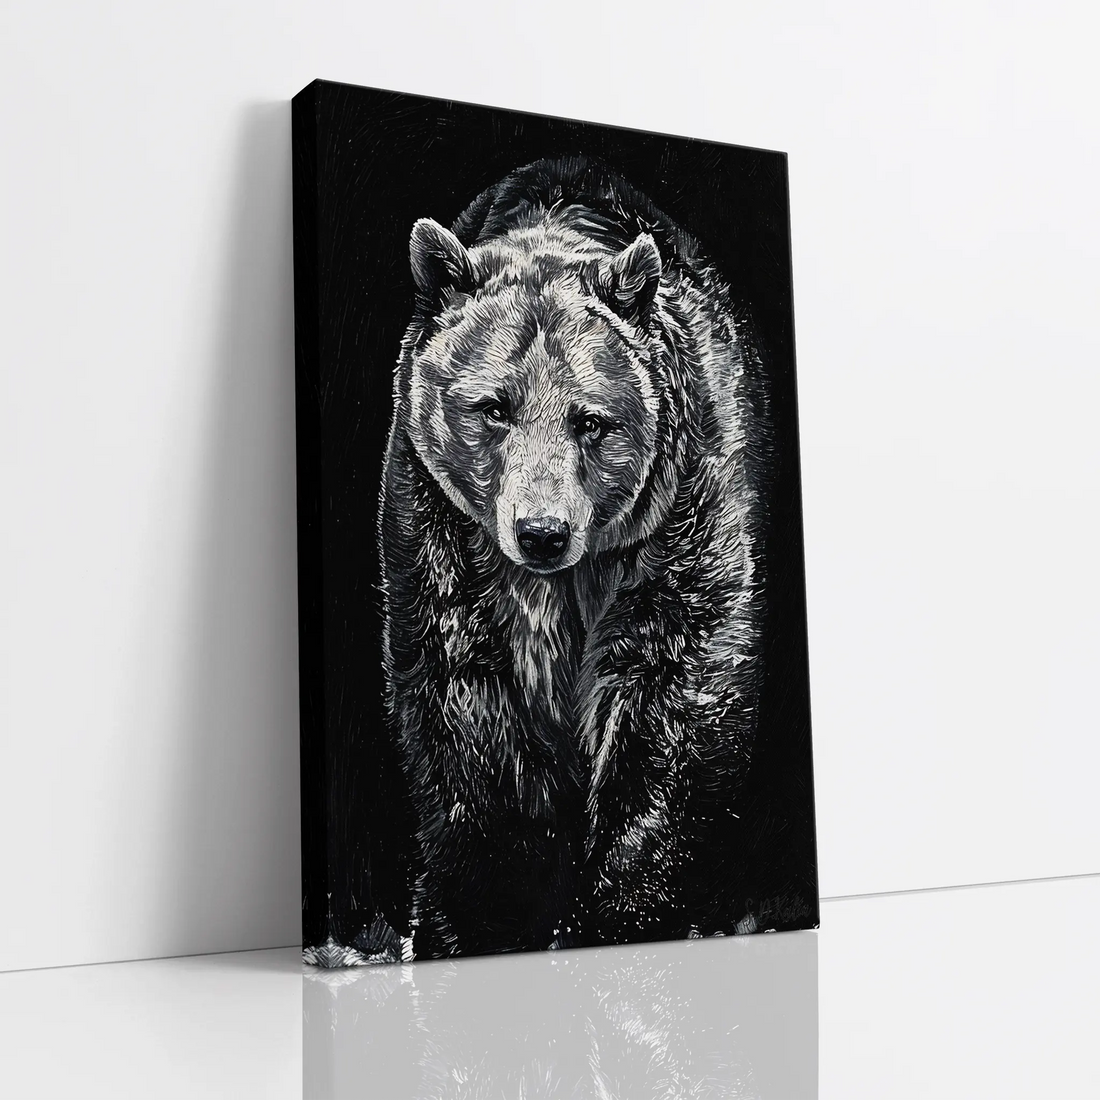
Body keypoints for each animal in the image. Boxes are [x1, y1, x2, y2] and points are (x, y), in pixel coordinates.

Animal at [379, 155, 770, 958]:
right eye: (493, 407)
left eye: (590, 420)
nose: (542, 531)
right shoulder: (439, 529)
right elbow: (467, 716)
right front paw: (484, 913)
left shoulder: (678, 522)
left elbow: (671, 702)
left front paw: (619, 915)